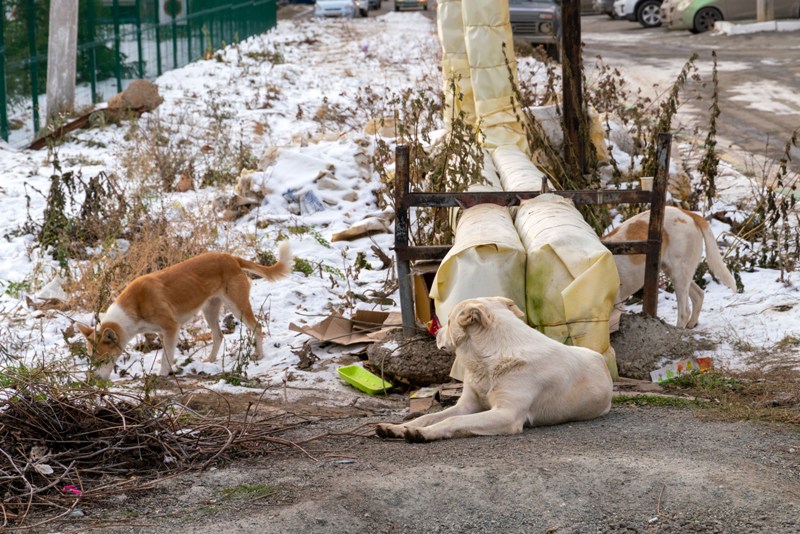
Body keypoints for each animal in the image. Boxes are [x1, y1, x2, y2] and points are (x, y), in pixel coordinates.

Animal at [76, 243, 290, 382]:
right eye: (91, 360)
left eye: (103, 360)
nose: (92, 381)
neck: (134, 307)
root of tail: (231, 258)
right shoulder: (160, 331)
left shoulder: (171, 328)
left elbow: (166, 358)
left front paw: (162, 376)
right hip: (209, 310)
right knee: (218, 335)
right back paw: (210, 360)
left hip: (238, 306)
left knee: (257, 327)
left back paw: (259, 355)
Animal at [376, 298, 612, 444]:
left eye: (450, 321)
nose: (436, 333)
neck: (488, 359)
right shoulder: (467, 405)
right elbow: (428, 417)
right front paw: (397, 428)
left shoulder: (507, 414)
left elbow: (452, 421)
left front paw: (425, 434)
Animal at [608, 206, 736, 328]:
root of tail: (688, 213)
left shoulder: (616, 309)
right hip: (676, 272)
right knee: (699, 295)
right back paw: (691, 324)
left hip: (679, 275)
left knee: (684, 312)